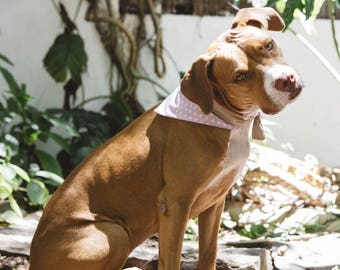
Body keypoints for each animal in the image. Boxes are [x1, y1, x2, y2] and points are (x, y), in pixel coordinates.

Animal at [29, 6, 302, 270]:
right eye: (240, 77)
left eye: (268, 45)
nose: (286, 81)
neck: (222, 117)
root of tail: (33, 258)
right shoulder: (175, 205)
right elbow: (172, 259)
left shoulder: (214, 203)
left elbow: (208, 255)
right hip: (114, 233)